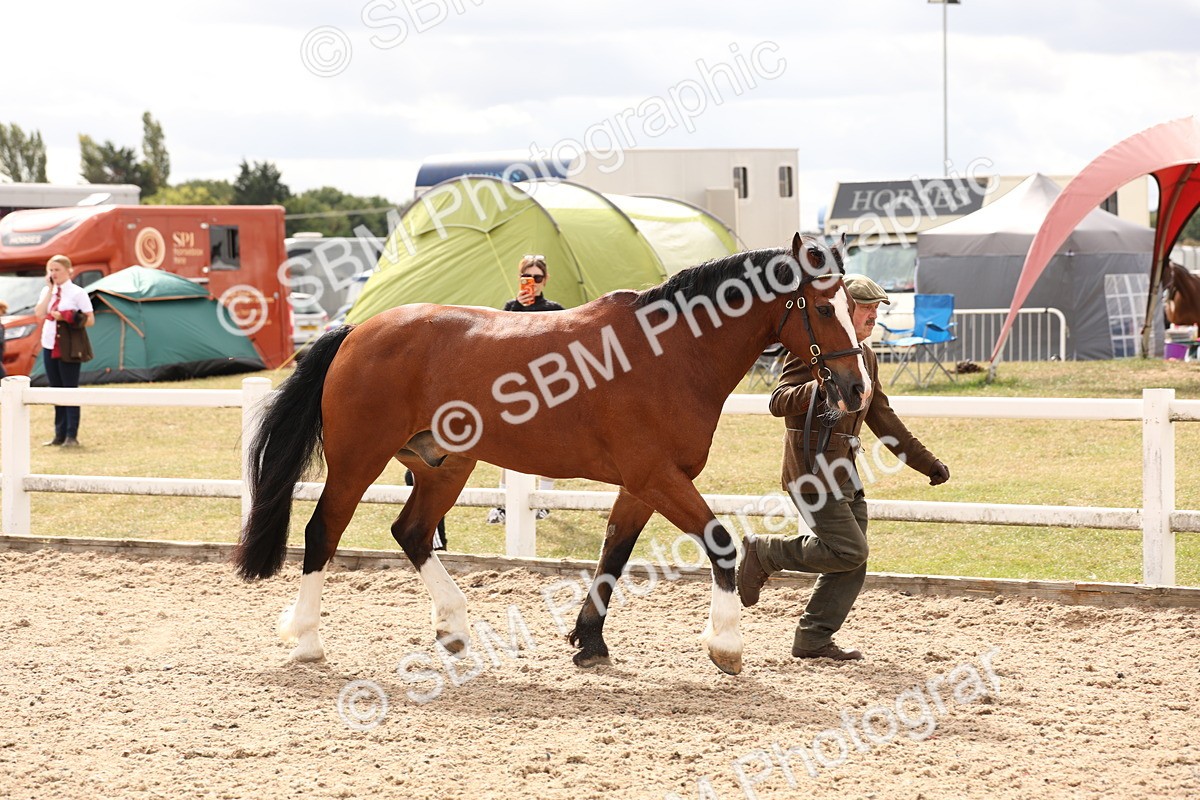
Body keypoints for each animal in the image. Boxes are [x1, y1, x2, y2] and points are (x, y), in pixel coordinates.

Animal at [233, 233, 871, 675]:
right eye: (821, 308)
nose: (856, 388)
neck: (670, 352)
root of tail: (358, 330)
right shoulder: (657, 476)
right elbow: (719, 543)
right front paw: (726, 645)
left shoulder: (641, 485)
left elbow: (614, 554)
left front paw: (589, 641)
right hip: (358, 461)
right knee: (323, 532)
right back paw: (307, 640)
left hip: (445, 466)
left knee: (411, 533)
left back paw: (454, 627)